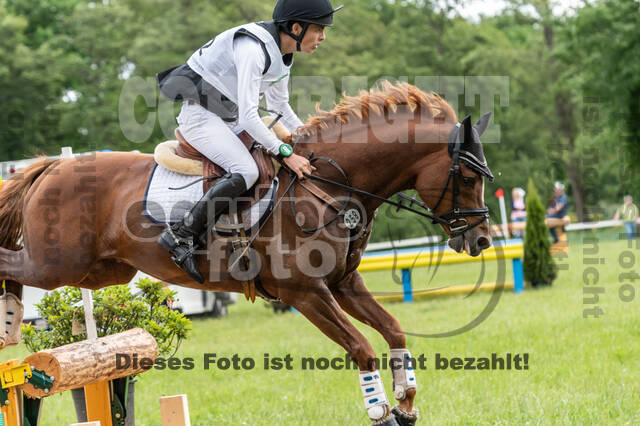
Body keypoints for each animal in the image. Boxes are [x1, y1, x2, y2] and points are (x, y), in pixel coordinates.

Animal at [0, 82, 494, 425]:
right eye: (468, 177)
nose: (481, 241)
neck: (329, 186)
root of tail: (53, 167)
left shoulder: (343, 283)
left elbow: (393, 331)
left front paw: (407, 402)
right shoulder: (305, 294)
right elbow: (362, 349)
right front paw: (381, 412)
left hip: (100, 273)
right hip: (55, 265)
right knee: (11, 262)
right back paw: (9, 322)